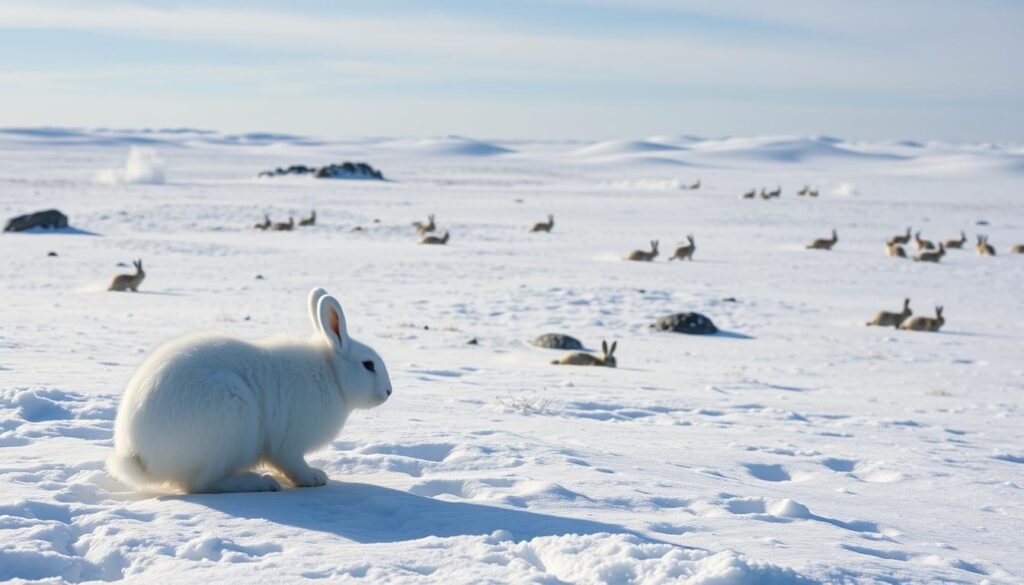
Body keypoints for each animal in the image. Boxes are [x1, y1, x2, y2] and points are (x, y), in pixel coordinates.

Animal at [107, 288, 392, 493]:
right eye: (368, 365)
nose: (389, 391)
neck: (332, 374)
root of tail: (139, 456)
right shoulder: (289, 443)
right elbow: (293, 464)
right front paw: (314, 477)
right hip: (231, 420)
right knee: (201, 484)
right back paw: (260, 482)